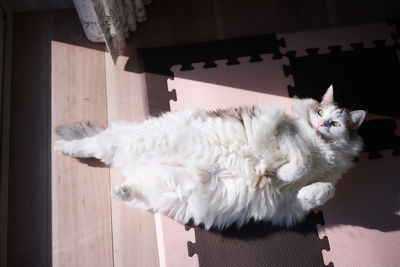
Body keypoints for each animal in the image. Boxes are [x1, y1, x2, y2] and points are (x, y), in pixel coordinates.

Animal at [54, 86, 366, 230]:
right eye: (320, 112)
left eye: (336, 123)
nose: (322, 124)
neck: (324, 150)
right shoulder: (286, 132)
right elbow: (300, 162)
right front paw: (281, 172)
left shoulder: (289, 205)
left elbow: (324, 189)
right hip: (129, 143)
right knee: (92, 144)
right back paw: (61, 147)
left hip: (167, 189)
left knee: (133, 190)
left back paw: (120, 190)